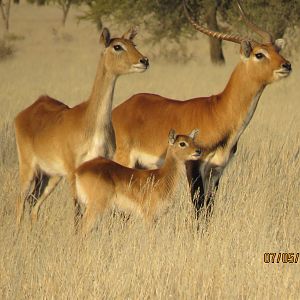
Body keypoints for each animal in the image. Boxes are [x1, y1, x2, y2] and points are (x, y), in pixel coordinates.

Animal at [14, 27, 149, 225]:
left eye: (134, 44)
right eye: (117, 46)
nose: (144, 61)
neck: (91, 125)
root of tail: (29, 109)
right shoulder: (73, 172)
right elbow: (77, 213)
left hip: (51, 176)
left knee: (33, 205)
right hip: (28, 168)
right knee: (21, 202)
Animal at [74, 127, 202, 233]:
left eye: (193, 141)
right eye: (182, 143)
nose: (198, 151)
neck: (162, 177)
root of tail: (78, 170)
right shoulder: (149, 216)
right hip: (96, 207)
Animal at [111, 0, 292, 216]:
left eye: (276, 50)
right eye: (259, 54)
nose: (287, 65)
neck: (218, 112)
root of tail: (118, 110)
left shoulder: (216, 170)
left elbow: (209, 209)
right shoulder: (194, 165)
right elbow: (198, 207)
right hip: (124, 160)